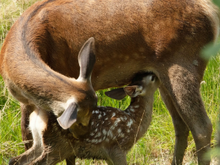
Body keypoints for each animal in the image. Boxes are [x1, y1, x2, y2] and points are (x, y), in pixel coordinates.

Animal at [0, 0, 219, 164]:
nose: (84, 136)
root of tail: (209, 10)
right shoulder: (27, 103)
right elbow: (27, 139)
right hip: (164, 75)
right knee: (180, 124)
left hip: (184, 62)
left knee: (202, 126)